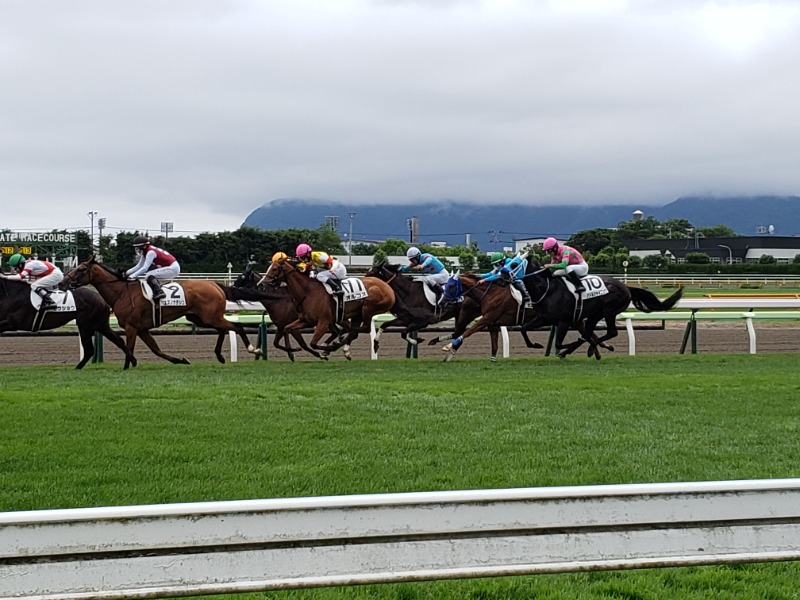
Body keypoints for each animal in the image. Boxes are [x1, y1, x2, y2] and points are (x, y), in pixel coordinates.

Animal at [63, 254, 276, 366]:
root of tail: (216, 285)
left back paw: (253, 349)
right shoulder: (142, 329)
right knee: (224, 329)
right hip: (200, 318)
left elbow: (129, 349)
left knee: (236, 327)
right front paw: (180, 360)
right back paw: (220, 355)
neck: (121, 292)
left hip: (209, 316)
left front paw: (127, 366)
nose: (65, 281)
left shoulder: (132, 328)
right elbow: (155, 350)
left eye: (81, 268)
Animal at [268, 258, 396, 360]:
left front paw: (324, 351)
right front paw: (293, 351)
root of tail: (389, 288)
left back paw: (334, 345)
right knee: (354, 331)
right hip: (357, 314)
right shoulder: (306, 320)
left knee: (363, 328)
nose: (265, 282)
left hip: (368, 307)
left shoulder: (323, 322)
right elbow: (287, 329)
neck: (308, 291)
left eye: (274, 269)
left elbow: (313, 343)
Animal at [520, 260, 684, 358]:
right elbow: (523, 328)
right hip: (595, 314)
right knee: (589, 333)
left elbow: (559, 343)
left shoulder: (565, 320)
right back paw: (587, 349)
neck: (547, 289)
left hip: (609, 311)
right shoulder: (544, 318)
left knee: (610, 332)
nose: (507, 279)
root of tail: (626, 287)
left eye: (515, 264)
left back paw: (589, 349)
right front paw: (536, 345)